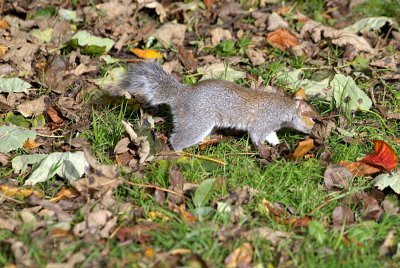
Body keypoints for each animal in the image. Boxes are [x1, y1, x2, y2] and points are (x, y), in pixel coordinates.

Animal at [110, 60, 322, 151]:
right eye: (313, 118)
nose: (315, 133)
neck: (285, 108)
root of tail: (181, 95)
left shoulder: (270, 126)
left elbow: (272, 135)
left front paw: (278, 144)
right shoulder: (264, 121)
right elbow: (257, 136)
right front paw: (264, 150)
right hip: (198, 121)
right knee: (178, 140)